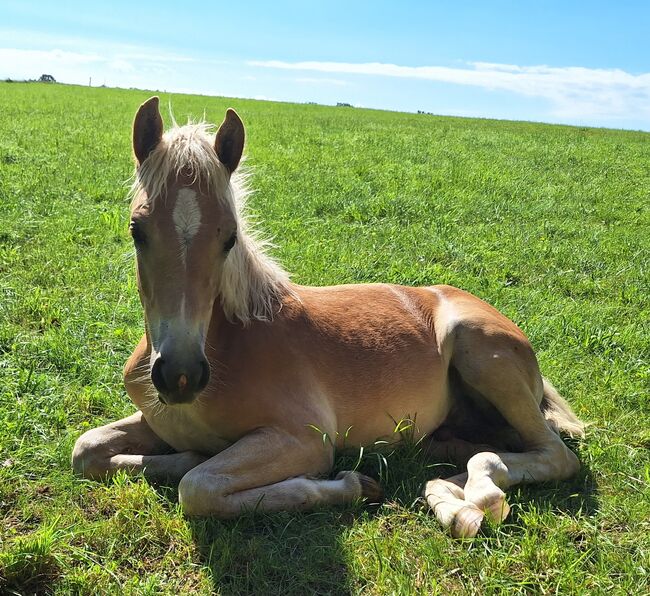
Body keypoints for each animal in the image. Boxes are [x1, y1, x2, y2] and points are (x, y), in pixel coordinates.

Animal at [71, 98, 584, 540]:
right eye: (137, 230)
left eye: (229, 237)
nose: (180, 375)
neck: (231, 345)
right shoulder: (152, 420)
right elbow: (87, 449)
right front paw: (183, 454)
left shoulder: (304, 440)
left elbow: (198, 487)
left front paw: (352, 486)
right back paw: (449, 496)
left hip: (481, 353)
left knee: (552, 455)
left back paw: (473, 497)